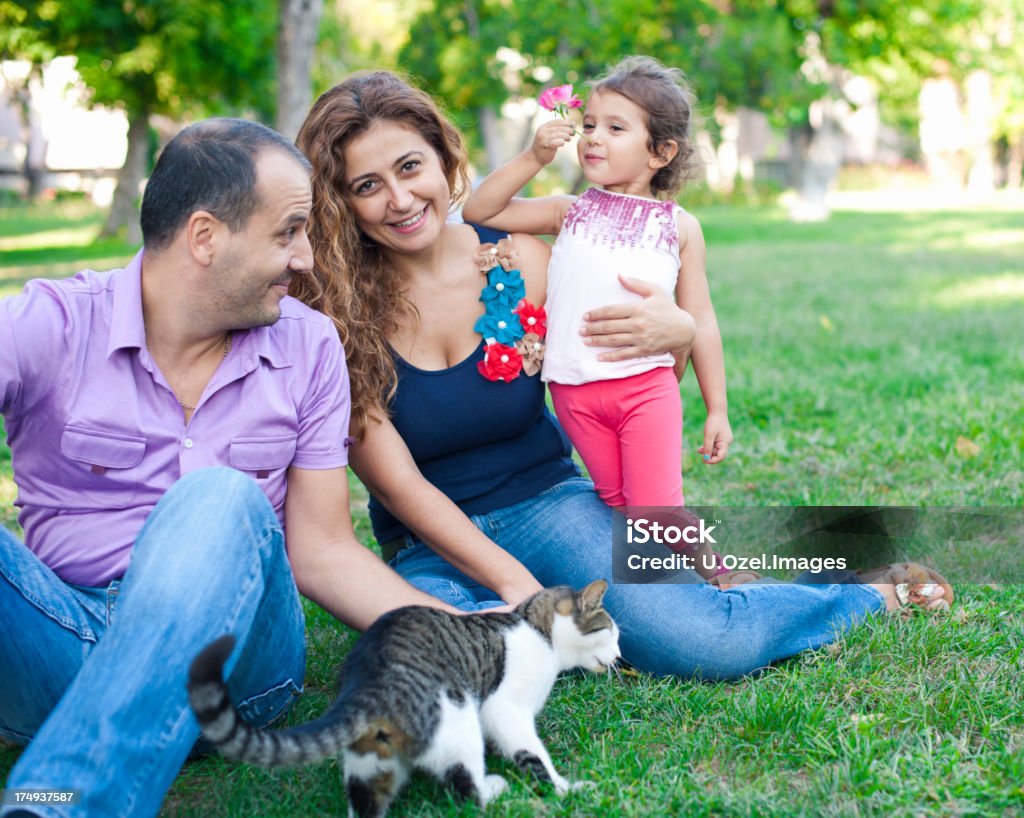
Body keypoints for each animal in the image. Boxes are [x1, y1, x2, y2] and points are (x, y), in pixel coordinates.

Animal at [188, 577, 618, 814]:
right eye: (610, 633)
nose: (618, 657)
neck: (537, 631)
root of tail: (365, 682)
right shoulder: (504, 708)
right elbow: (534, 755)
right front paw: (565, 788)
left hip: (370, 759)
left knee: (365, 802)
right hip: (455, 716)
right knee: (465, 789)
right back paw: (493, 789)